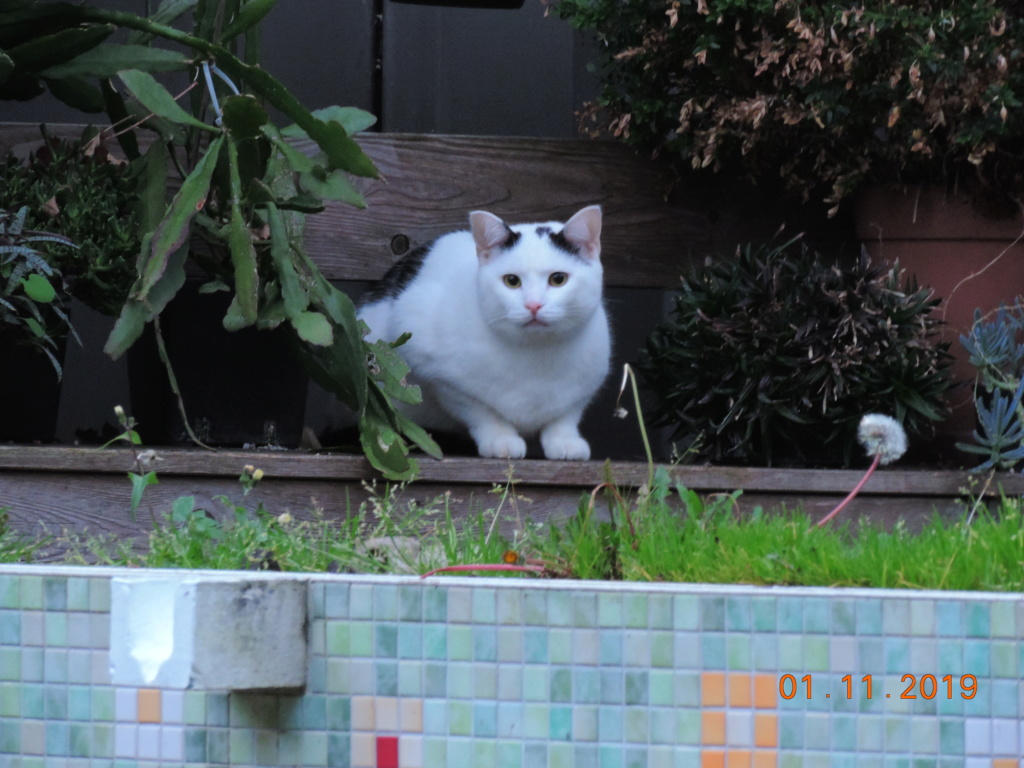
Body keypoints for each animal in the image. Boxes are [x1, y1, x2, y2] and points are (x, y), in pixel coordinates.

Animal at [358, 204, 606, 460]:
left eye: (558, 279)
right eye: (512, 281)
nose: (533, 305)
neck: (536, 354)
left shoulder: (586, 386)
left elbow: (565, 416)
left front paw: (565, 441)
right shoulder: (441, 375)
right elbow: (482, 412)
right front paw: (500, 439)